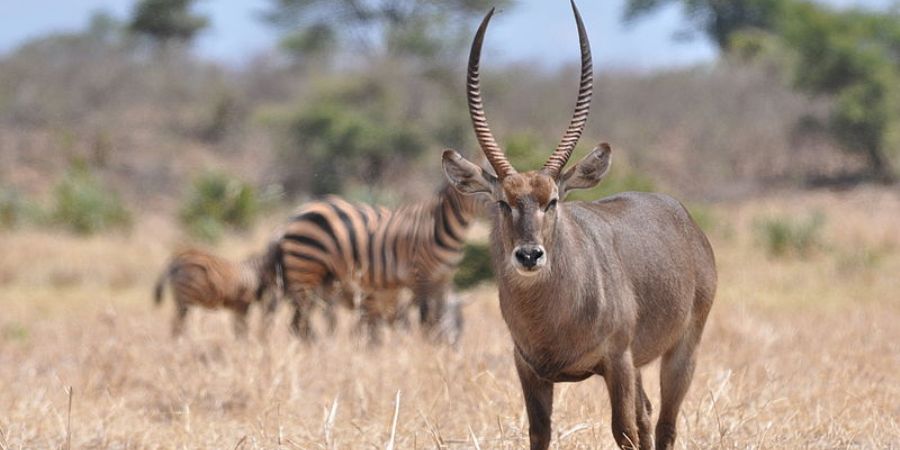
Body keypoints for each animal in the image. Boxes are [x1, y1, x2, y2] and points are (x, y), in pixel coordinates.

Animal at [278, 184, 486, 344]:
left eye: (462, 325)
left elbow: (388, 326)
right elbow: (385, 329)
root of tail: (298, 212)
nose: (452, 351)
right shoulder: (399, 286)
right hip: (305, 270)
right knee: (299, 323)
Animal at [442, 1, 716, 448]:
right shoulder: (528, 368)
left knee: (663, 423)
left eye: (552, 200)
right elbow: (539, 432)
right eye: (502, 202)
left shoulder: (617, 362)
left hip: (681, 352)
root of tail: (684, 218)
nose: (529, 255)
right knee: (647, 414)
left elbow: (624, 431)